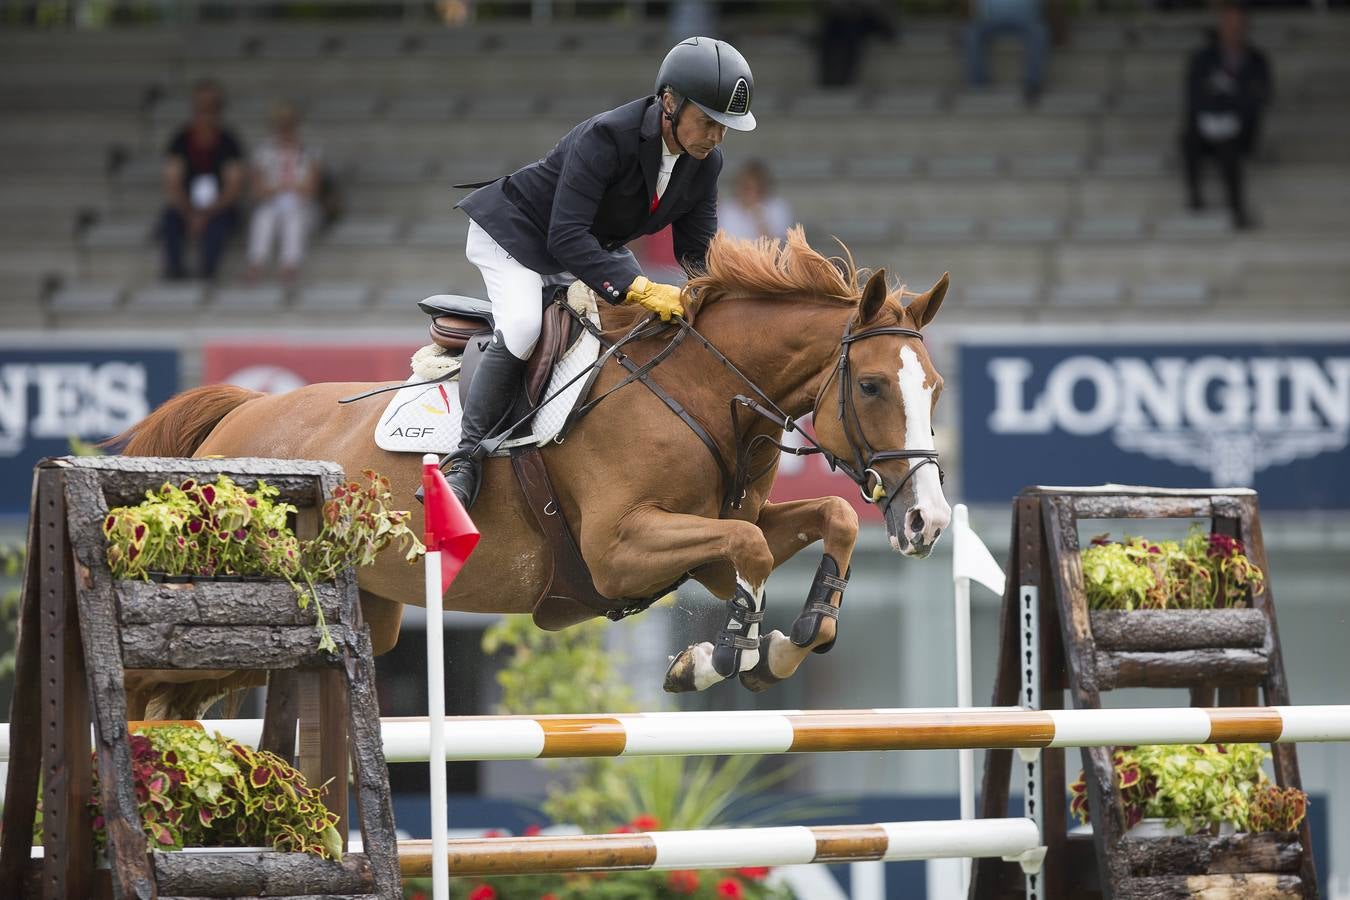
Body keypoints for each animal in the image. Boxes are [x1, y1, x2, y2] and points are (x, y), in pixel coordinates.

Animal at [116, 230, 950, 717]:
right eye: (871, 386)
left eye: (935, 389)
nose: (929, 522)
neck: (703, 389)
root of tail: (238, 413)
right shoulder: (619, 550)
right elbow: (748, 554)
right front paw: (711, 661)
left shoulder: (710, 541)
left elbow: (824, 522)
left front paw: (789, 642)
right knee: (151, 687)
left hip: (355, 619)